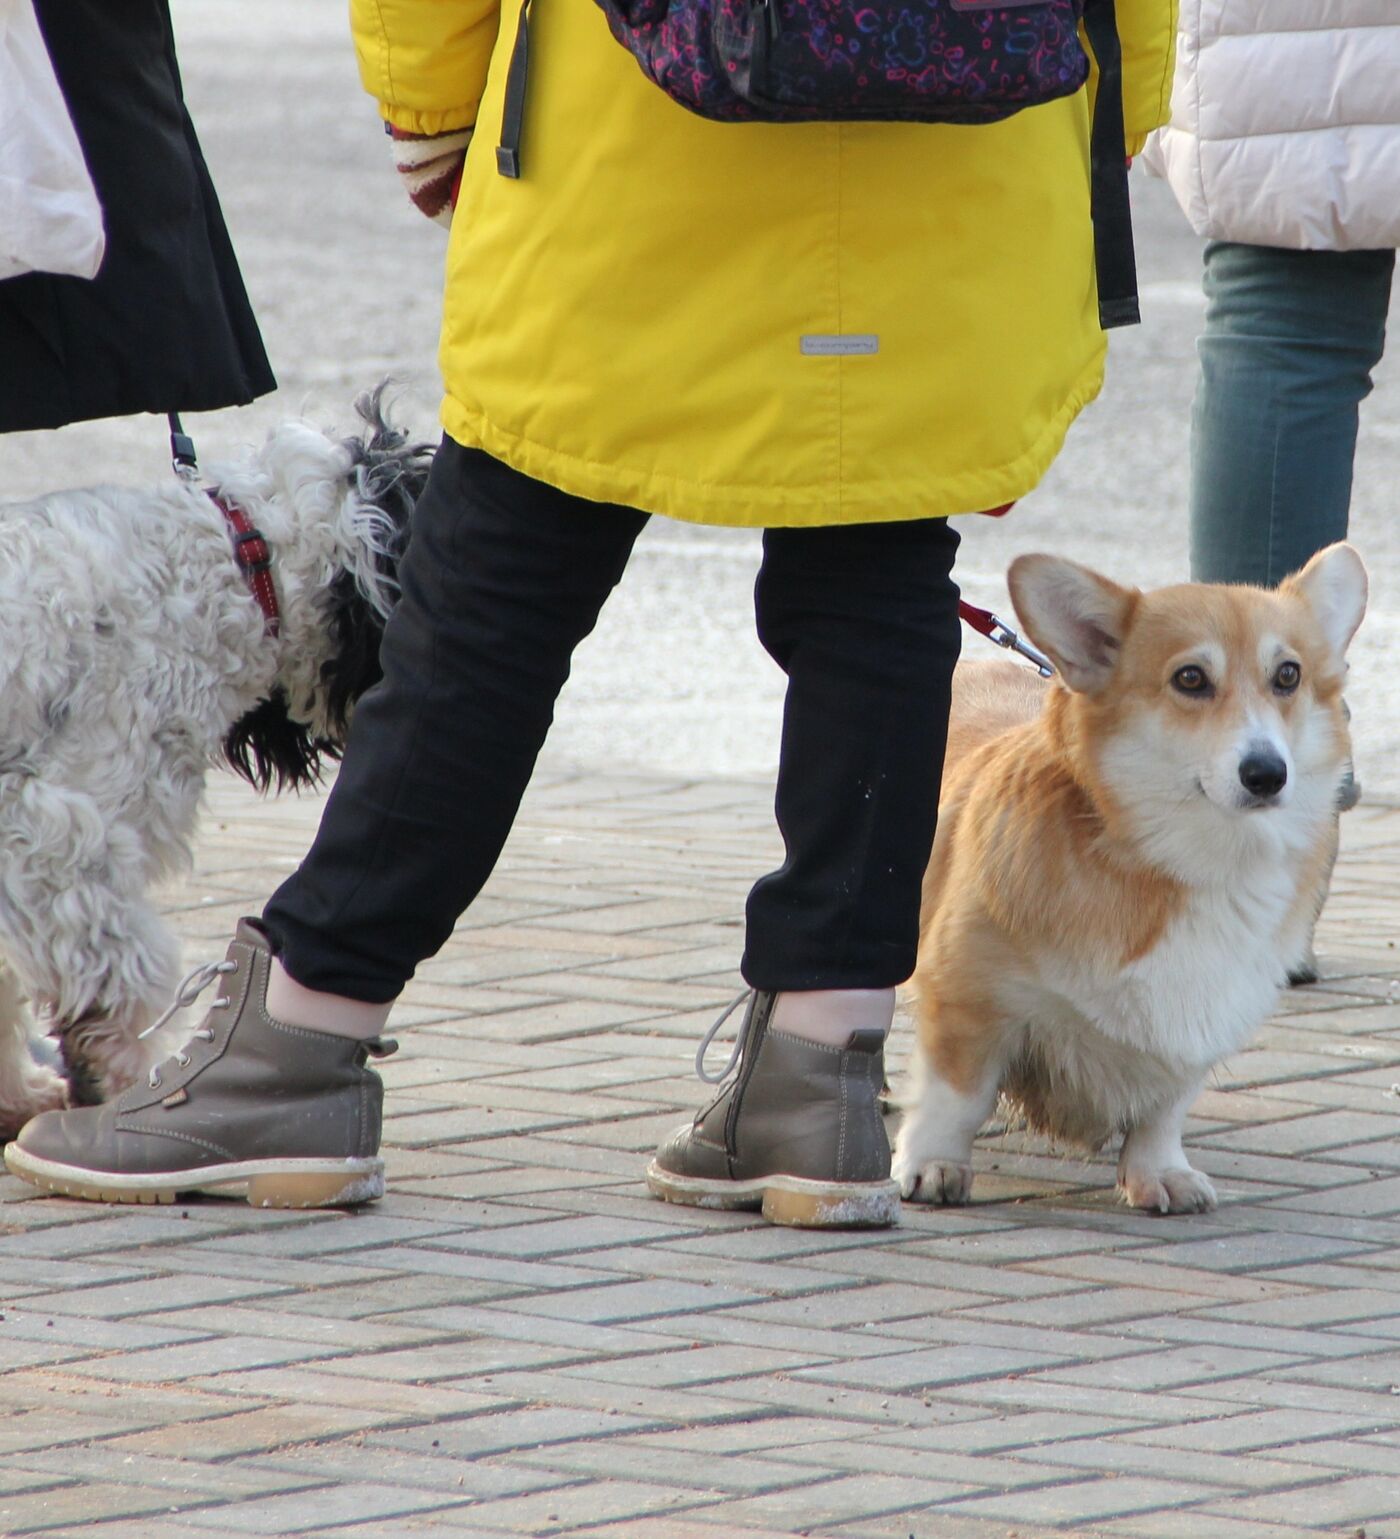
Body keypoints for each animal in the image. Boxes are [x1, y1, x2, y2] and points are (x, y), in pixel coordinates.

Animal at [898, 544, 1372, 1212]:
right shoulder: (966, 992)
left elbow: (1164, 1108)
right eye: (1190, 679)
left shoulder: (1199, 1019)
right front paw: (934, 1164)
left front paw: (1159, 1172)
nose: (1267, 774)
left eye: (1288, 676)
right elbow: (956, 1096)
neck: (1187, 860)